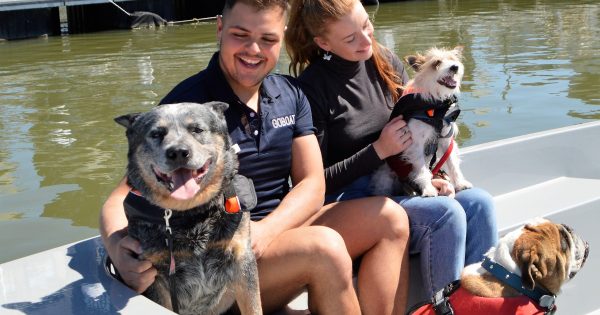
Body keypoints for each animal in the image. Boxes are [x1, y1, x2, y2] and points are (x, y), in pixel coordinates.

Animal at [115, 102, 260, 314]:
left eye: (197, 129)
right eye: (156, 134)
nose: (178, 152)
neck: (191, 216)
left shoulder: (242, 258)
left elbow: (254, 306)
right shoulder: (154, 273)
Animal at [370, 47, 474, 198]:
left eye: (452, 60)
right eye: (437, 63)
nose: (455, 67)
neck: (436, 107)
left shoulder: (446, 140)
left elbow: (452, 162)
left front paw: (460, 183)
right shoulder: (415, 143)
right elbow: (421, 169)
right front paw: (428, 189)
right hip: (385, 180)